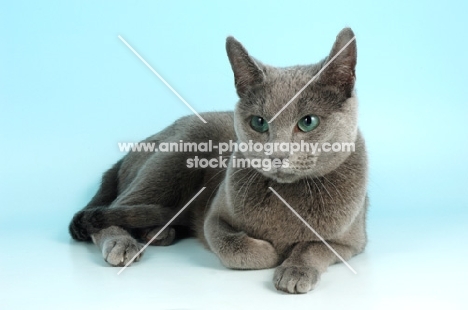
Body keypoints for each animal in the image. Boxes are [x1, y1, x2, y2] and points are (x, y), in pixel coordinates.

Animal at [70, 27, 370, 294]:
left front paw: (295, 270)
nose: (277, 155)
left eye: (308, 122)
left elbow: (314, 246)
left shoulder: (353, 242)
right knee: (115, 207)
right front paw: (271, 252)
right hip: (177, 153)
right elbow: (233, 247)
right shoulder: (214, 217)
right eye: (258, 123)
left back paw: (157, 233)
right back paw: (124, 243)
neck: (287, 196)